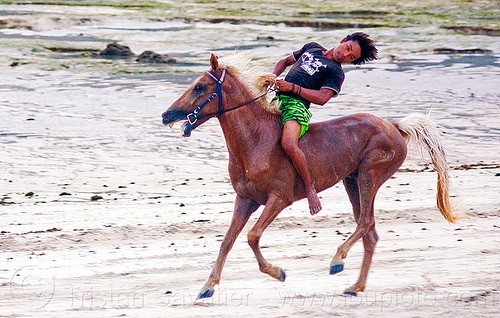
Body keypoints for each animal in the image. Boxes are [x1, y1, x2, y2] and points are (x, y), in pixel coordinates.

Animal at [162, 53, 456, 300]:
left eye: (200, 87)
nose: (167, 114)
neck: (255, 141)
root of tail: (394, 127)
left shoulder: (279, 199)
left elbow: (252, 236)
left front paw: (278, 272)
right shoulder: (245, 199)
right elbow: (227, 241)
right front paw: (207, 287)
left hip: (369, 176)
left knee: (365, 222)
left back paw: (337, 260)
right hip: (352, 182)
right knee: (370, 232)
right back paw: (355, 286)